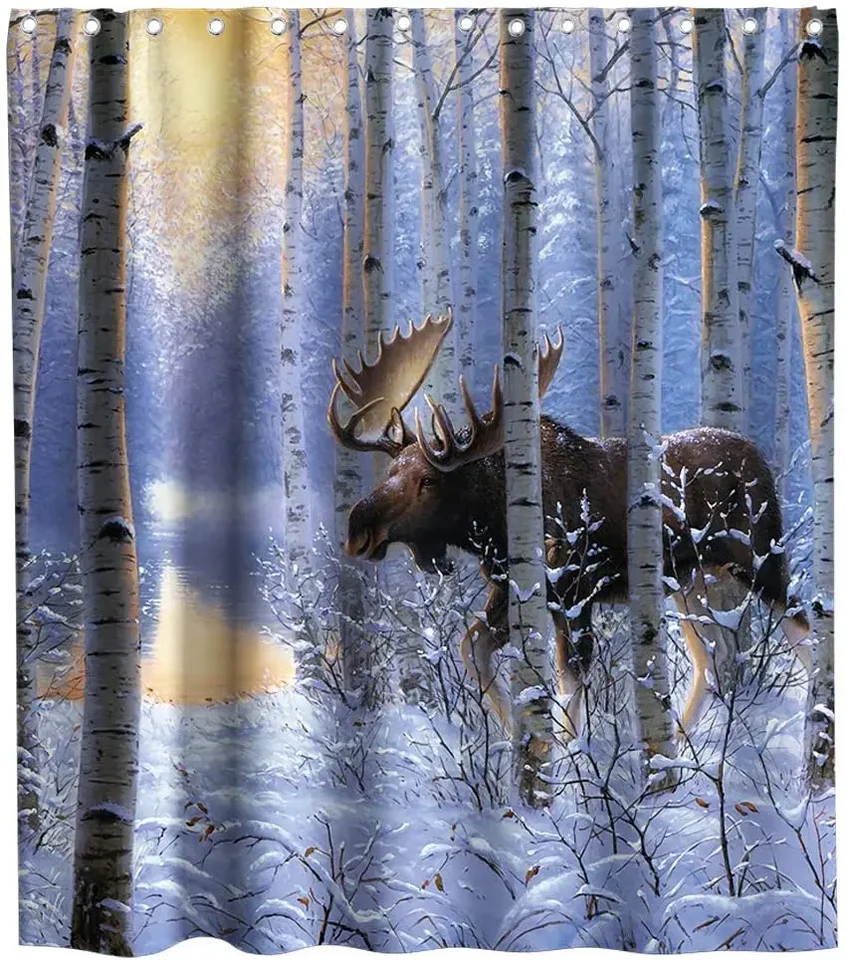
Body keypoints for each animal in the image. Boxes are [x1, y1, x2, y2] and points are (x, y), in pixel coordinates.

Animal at [328, 311, 812, 744]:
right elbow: (473, 649)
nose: (357, 529)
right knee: (714, 658)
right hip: (693, 580)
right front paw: (516, 738)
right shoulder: (510, 590)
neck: (494, 527)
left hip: (760, 557)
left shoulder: (577, 592)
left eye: (427, 480)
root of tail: (760, 459)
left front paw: (568, 761)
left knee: (801, 626)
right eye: (391, 472)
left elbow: (569, 680)